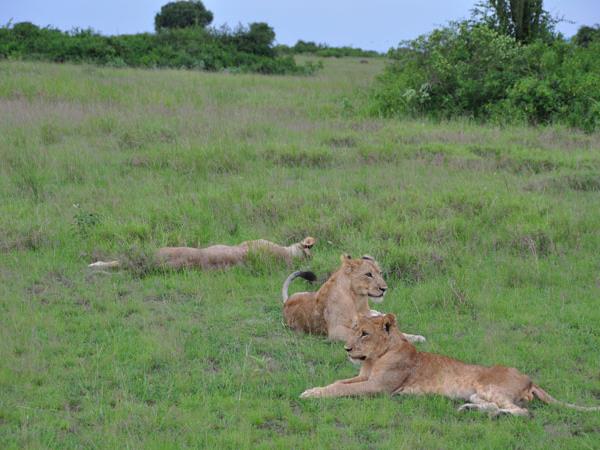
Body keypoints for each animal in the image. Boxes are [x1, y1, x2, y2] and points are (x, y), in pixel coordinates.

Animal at [282, 253, 426, 344]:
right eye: (368, 274)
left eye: (379, 273)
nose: (384, 289)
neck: (358, 300)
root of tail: (287, 301)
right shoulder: (336, 331)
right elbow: (356, 333)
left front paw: (417, 338)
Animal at [300, 312, 600, 416]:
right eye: (353, 330)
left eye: (364, 333)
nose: (347, 348)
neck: (374, 359)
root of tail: (530, 379)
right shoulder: (365, 378)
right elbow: (338, 382)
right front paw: (312, 390)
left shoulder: (379, 388)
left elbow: (341, 389)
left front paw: (311, 395)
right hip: (479, 392)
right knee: (496, 405)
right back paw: (469, 409)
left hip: (488, 386)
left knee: (522, 412)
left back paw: (496, 415)